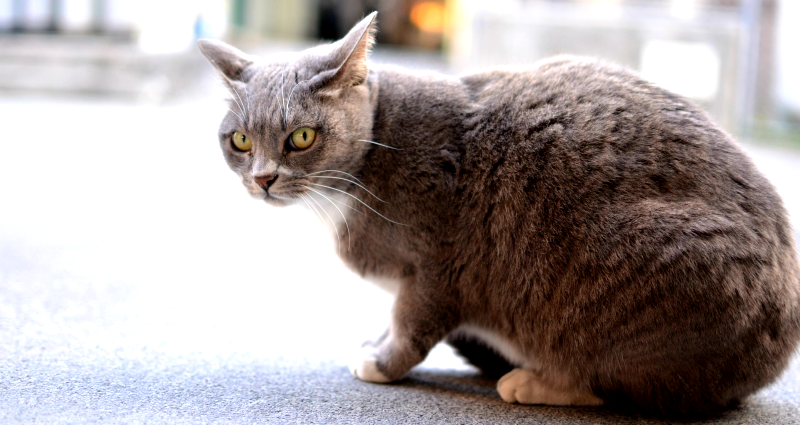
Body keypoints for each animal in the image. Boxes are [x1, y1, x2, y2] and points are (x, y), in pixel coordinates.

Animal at [198, 11, 800, 416]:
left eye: (301, 137)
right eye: (241, 140)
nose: (263, 178)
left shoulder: (438, 263)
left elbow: (412, 323)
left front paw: (381, 361)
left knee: (622, 387)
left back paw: (532, 381)